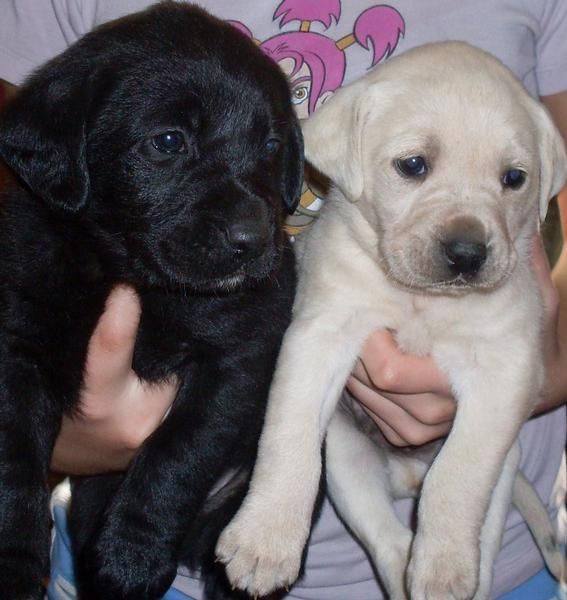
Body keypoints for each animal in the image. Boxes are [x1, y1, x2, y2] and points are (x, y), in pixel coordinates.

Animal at [0, 2, 302, 596]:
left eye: (271, 146)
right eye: (167, 142)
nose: (256, 240)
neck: (127, 273)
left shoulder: (236, 360)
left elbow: (177, 453)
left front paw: (132, 556)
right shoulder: (17, 344)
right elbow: (15, 459)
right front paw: (15, 561)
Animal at [216, 43, 564, 600]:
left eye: (514, 178)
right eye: (413, 165)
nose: (467, 254)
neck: (421, 302)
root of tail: (407, 477)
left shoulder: (505, 373)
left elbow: (458, 473)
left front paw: (443, 567)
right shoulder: (318, 338)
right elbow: (288, 440)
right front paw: (263, 541)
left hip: (505, 472)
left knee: (472, 531)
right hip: (346, 462)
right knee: (389, 543)